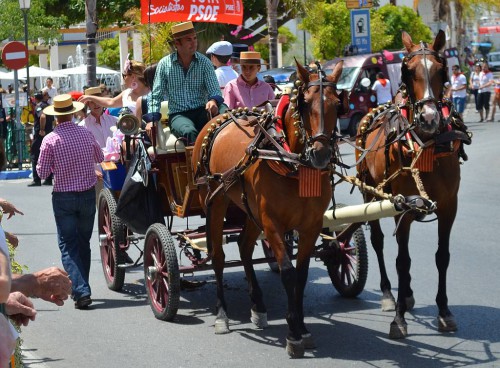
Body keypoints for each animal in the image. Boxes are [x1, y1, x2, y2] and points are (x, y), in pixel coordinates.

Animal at [193, 60, 346, 356]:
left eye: (337, 104)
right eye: (305, 104)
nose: (321, 154)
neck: (294, 163)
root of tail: (220, 118)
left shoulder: (311, 225)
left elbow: (301, 274)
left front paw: (302, 328)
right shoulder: (272, 222)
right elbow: (287, 272)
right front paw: (293, 333)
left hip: (249, 209)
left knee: (243, 246)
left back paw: (258, 307)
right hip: (215, 201)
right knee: (218, 256)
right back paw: (221, 315)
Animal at [360, 30, 468, 340]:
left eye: (442, 70)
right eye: (408, 71)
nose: (429, 118)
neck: (425, 146)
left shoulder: (449, 206)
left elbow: (442, 256)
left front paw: (444, 311)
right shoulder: (402, 208)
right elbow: (402, 261)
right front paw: (398, 320)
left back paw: (406, 296)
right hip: (370, 195)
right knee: (379, 242)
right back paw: (389, 295)